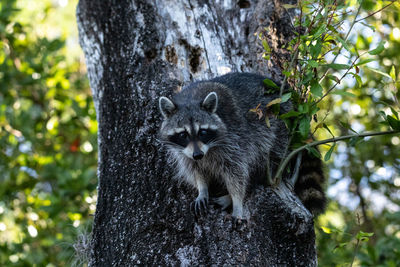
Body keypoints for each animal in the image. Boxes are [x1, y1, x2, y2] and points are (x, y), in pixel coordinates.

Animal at [158, 72, 326, 223]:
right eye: (183, 134)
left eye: (203, 132)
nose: (198, 155)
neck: (191, 99)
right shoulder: (185, 152)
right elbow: (195, 169)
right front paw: (202, 189)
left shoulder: (235, 138)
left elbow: (237, 173)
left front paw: (236, 201)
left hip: (282, 126)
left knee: (268, 160)